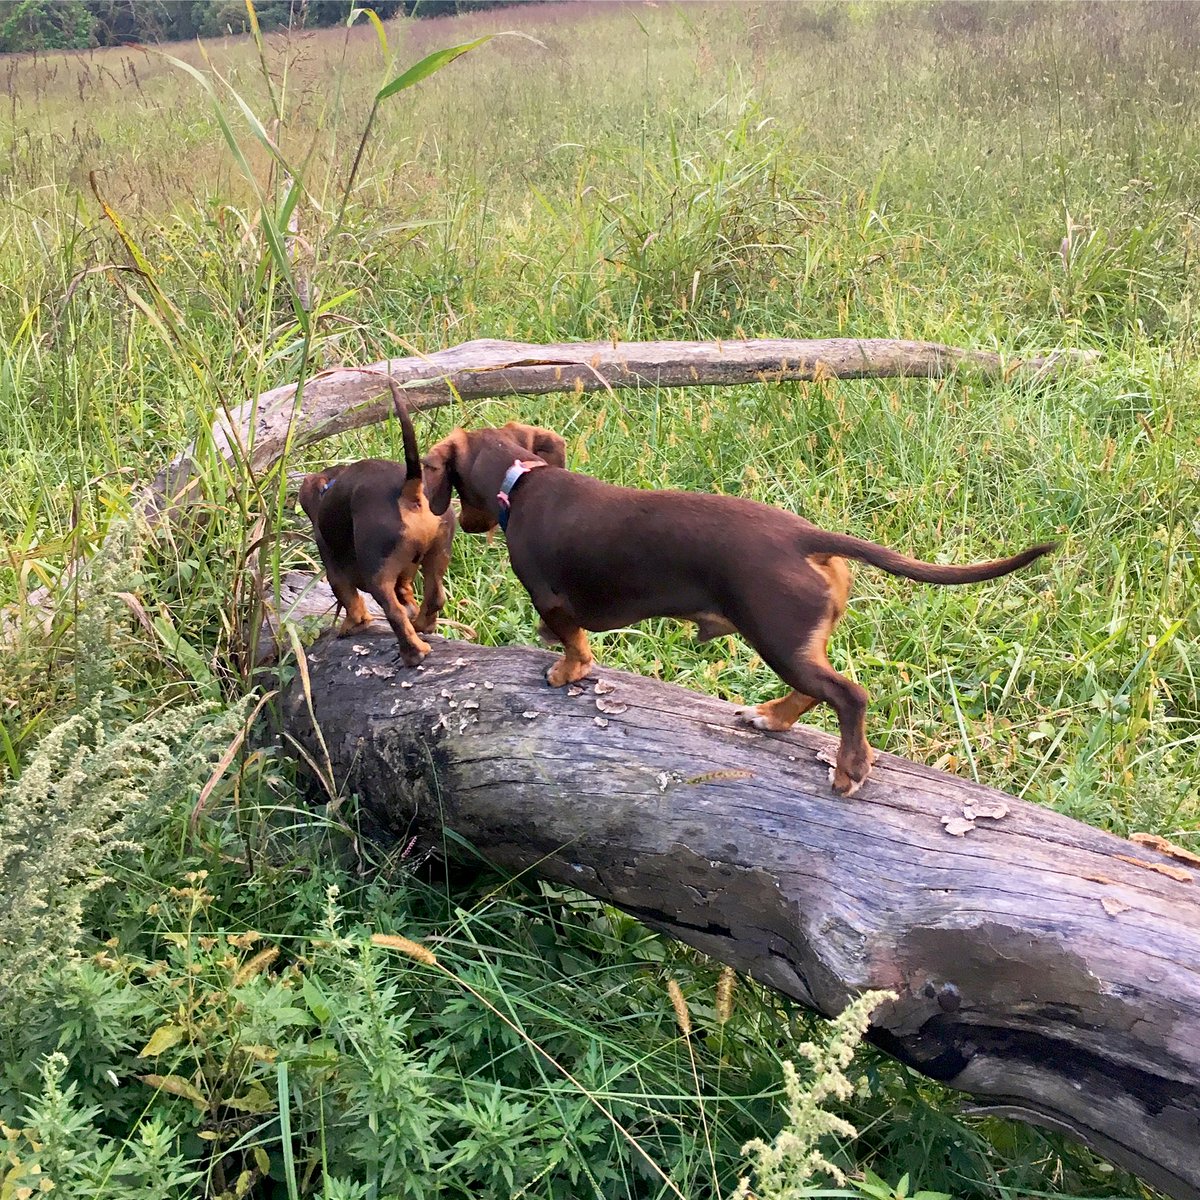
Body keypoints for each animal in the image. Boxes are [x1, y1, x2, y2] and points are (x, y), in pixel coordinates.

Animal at [300, 379, 446, 667]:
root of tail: (409, 490)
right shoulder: (404, 576)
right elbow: (407, 596)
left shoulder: (332, 566)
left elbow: (350, 600)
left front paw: (353, 625)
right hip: (438, 551)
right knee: (434, 597)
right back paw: (422, 626)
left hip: (377, 573)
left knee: (394, 612)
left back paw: (413, 653)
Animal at [422, 422, 1051, 796]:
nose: (468, 525)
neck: (521, 482)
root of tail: (803, 537)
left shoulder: (550, 597)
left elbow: (575, 642)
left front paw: (566, 668)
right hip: (793, 641)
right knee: (811, 694)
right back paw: (769, 717)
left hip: (774, 633)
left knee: (849, 696)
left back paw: (849, 769)